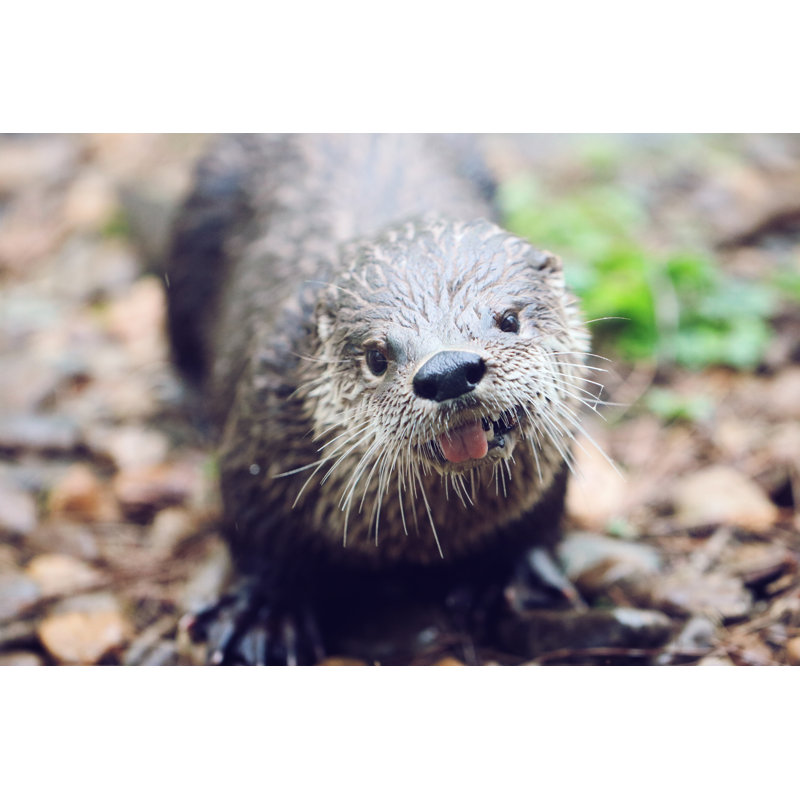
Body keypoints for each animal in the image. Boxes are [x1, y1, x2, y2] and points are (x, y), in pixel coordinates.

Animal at [165, 134, 590, 664]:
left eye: (508, 319)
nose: (448, 371)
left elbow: (540, 515)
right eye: (376, 356)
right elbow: (257, 533)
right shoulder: (260, 436)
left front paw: (506, 577)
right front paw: (263, 615)